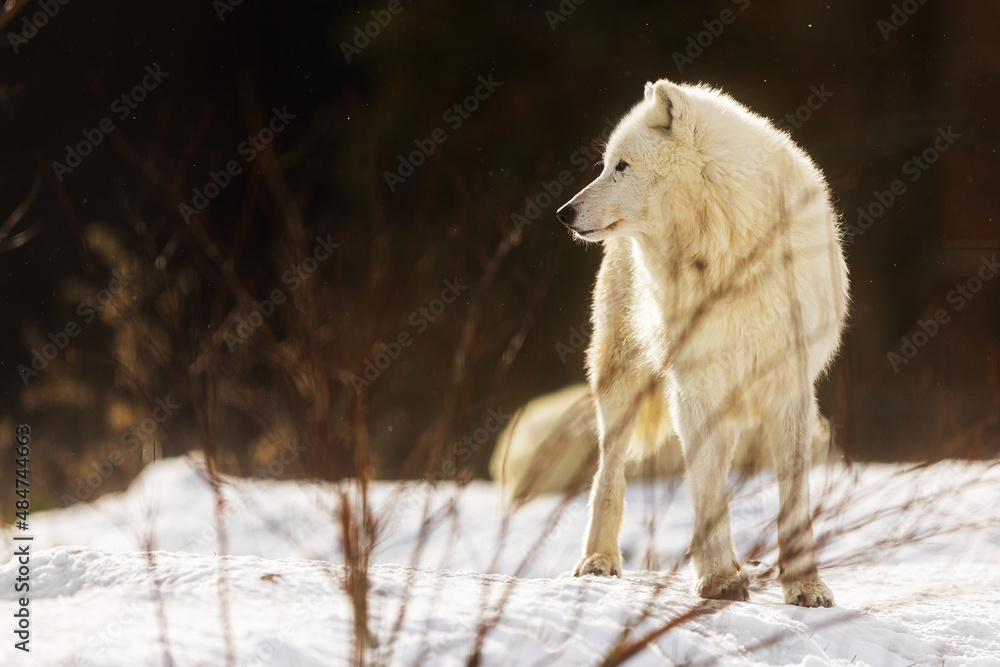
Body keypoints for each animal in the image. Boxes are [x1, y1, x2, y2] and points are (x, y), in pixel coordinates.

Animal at [555, 79, 849, 607]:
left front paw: (805, 586)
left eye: (621, 167)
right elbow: (708, 491)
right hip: (620, 382)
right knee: (609, 473)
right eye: (605, 166)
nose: (563, 214)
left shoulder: (789, 387)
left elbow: (794, 497)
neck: (724, 252)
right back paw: (598, 561)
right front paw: (719, 581)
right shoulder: (696, 385)